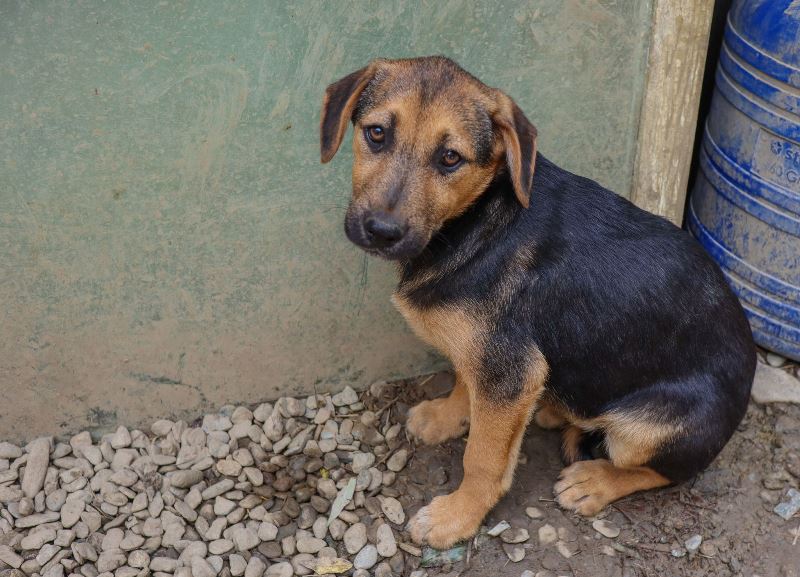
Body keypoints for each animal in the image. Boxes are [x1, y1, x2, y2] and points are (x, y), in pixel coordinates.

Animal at [320, 56, 756, 548]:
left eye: (450, 158)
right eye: (377, 133)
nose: (381, 230)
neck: (476, 219)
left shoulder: (509, 368)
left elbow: (483, 458)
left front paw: (457, 517)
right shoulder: (488, 356)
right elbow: (463, 382)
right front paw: (446, 417)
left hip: (647, 429)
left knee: (663, 470)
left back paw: (594, 481)